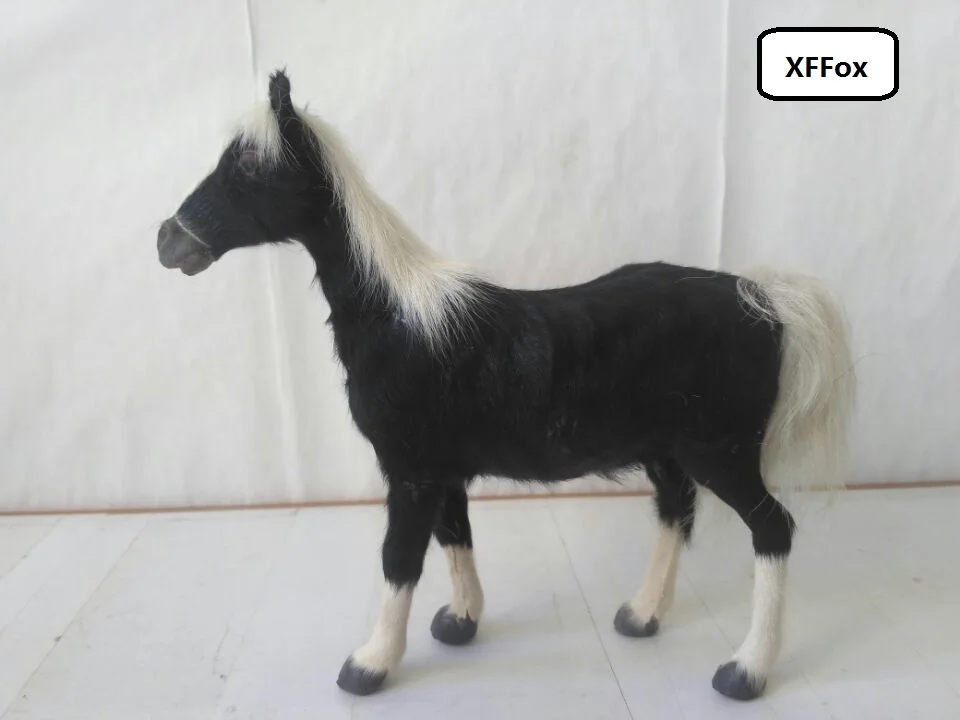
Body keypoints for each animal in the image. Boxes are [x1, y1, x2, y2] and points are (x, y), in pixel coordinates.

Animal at [157, 70, 855, 700]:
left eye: (250, 162)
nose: (169, 240)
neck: (401, 318)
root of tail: (762, 296)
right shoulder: (441, 471)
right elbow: (455, 535)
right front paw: (459, 622)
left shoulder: (411, 471)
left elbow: (399, 558)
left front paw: (370, 664)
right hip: (668, 453)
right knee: (675, 513)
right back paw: (640, 616)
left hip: (723, 453)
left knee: (772, 531)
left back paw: (744, 672)